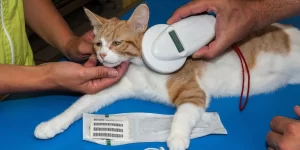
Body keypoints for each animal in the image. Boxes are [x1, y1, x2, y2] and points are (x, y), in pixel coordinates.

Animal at [34, 3, 300, 150]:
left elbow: (182, 116)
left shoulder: (193, 93)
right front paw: (51, 125)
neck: (142, 67)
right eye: (98, 43)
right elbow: (80, 105)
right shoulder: (110, 90)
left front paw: (177, 138)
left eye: (117, 43)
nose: (101, 55)